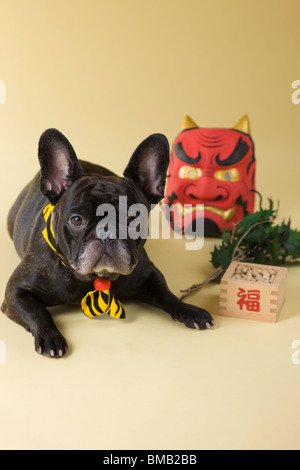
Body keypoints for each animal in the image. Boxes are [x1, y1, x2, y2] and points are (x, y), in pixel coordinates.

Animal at [1, 129, 213, 356]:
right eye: (77, 220)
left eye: (133, 219)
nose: (106, 233)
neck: (92, 278)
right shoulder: (15, 292)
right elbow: (38, 312)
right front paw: (50, 336)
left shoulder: (149, 274)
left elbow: (167, 295)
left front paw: (190, 311)